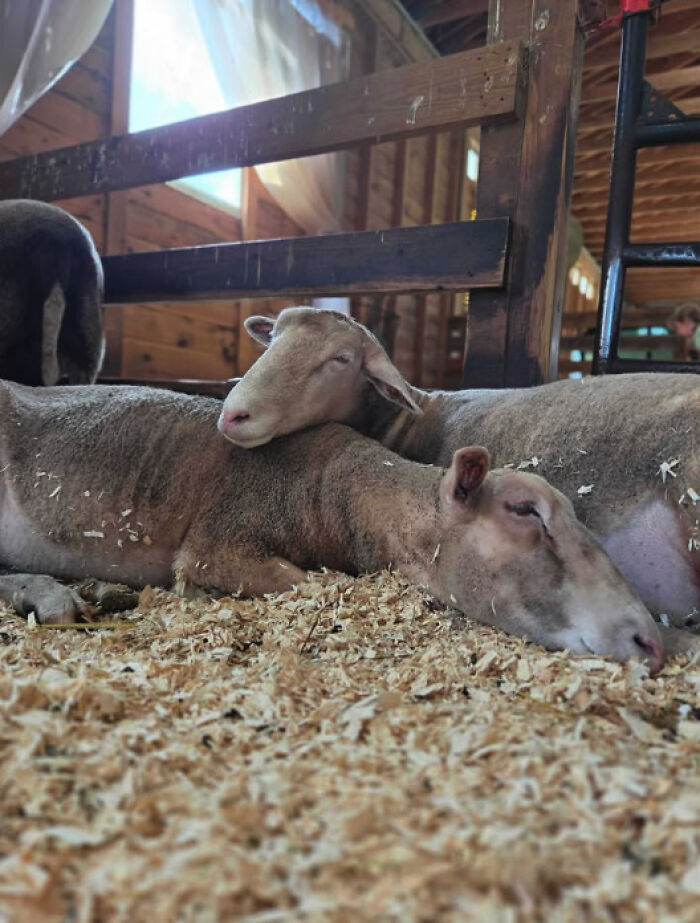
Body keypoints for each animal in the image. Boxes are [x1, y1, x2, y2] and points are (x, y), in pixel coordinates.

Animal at [0, 379, 665, 669]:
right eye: (525, 510)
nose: (650, 642)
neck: (334, 489)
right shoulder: (218, 545)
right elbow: (311, 584)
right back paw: (54, 597)